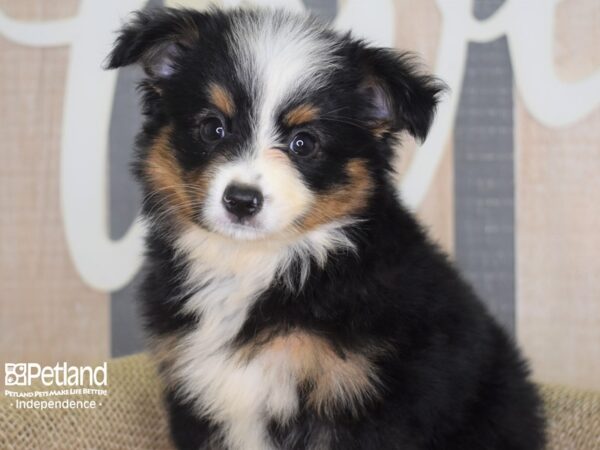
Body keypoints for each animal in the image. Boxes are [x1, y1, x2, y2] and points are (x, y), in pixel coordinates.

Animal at [106, 7, 544, 450]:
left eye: (304, 143)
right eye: (213, 128)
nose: (242, 200)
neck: (255, 265)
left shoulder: (360, 401)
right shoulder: (193, 397)